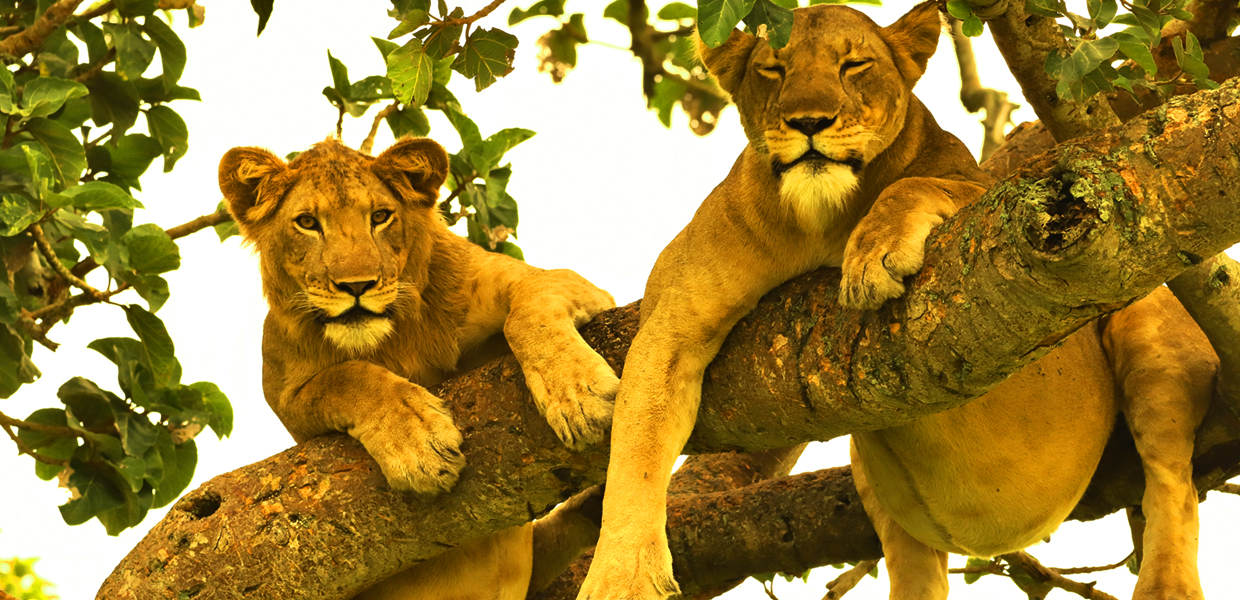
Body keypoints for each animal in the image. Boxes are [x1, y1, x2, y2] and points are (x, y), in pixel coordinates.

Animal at [219, 138, 620, 597]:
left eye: (380, 216)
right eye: (306, 223)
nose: (356, 285)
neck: (391, 340)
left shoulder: (536, 280)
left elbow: (528, 312)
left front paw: (580, 397)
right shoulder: (289, 405)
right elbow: (345, 377)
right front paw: (419, 445)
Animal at [577, 4, 1210, 600]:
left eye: (854, 65)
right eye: (773, 69)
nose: (810, 122)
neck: (820, 220)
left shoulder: (1006, 221)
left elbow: (920, 184)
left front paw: (871, 257)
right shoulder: (672, 329)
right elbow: (637, 448)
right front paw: (622, 577)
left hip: (1149, 327)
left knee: (1171, 481)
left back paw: (1168, 584)